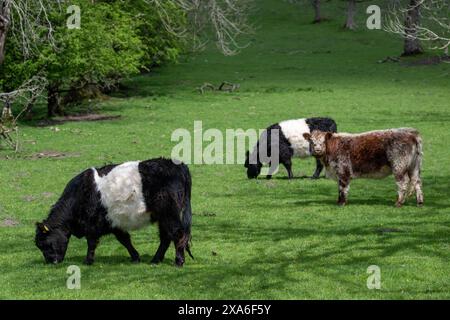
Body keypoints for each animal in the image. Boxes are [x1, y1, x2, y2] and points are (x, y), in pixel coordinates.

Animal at [33, 159, 192, 266]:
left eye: (45, 243)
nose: (52, 261)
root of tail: (178, 165)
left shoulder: (92, 225)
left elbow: (91, 243)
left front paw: (88, 261)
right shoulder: (114, 223)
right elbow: (125, 240)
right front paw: (135, 257)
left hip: (169, 214)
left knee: (178, 234)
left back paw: (179, 261)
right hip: (162, 217)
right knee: (166, 237)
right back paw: (155, 260)